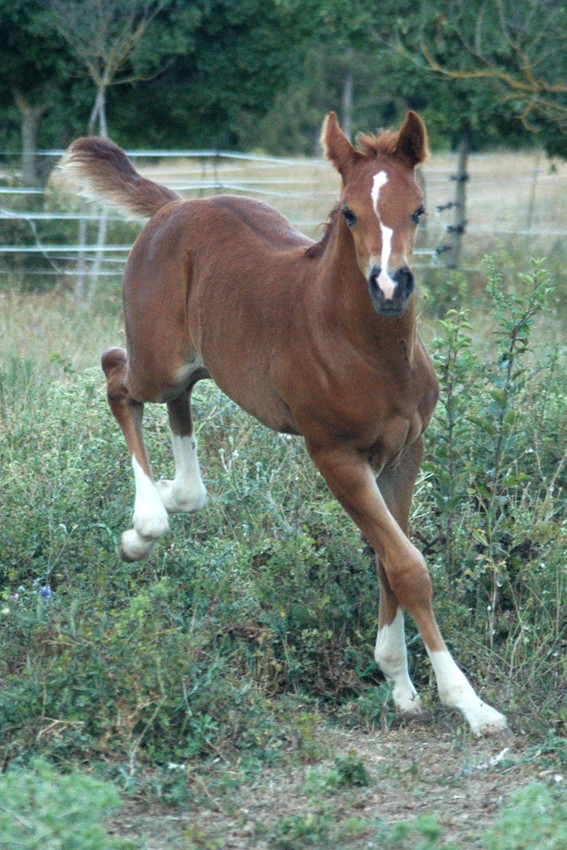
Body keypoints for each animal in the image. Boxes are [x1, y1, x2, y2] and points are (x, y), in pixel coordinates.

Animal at [62, 112, 510, 736]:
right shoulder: (335, 456)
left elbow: (389, 562)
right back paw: (144, 526)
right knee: (116, 375)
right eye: (349, 212)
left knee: (180, 412)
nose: (390, 287)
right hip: (158, 360)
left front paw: (399, 683)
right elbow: (407, 565)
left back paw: (175, 495)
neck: (366, 350)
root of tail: (174, 207)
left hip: (198, 361)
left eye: (419, 209)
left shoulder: (404, 454)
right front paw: (468, 702)